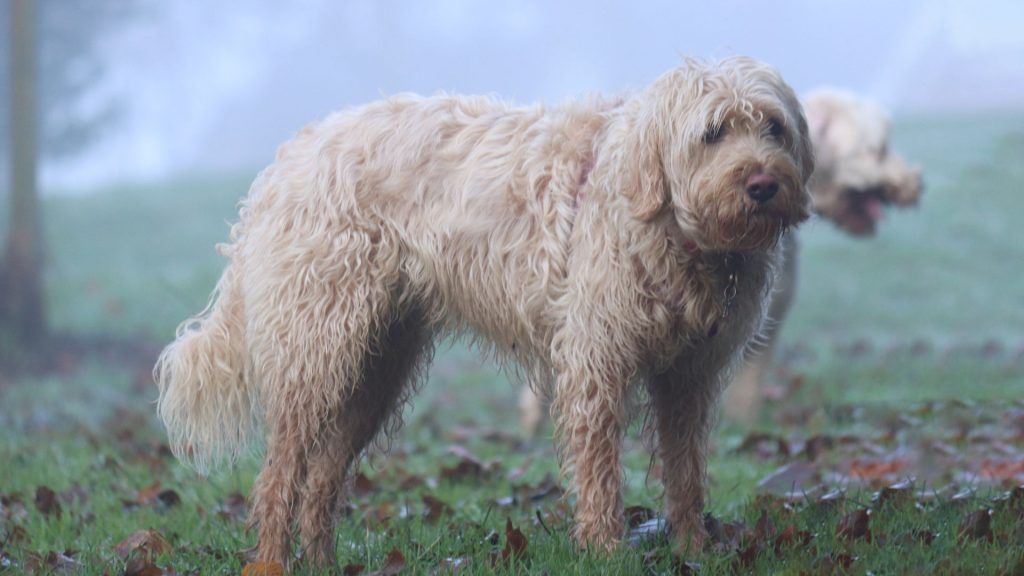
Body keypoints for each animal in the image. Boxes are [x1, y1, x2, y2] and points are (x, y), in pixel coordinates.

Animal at [155, 57, 811, 565]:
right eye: (714, 132)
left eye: (772, 127)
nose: (762, 184)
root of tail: (289, 157)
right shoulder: (597, 364)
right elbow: (600, 471)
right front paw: (605, 550)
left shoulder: (688, 377)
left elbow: (686, 470)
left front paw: (694, 546)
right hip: (316, 351)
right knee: (278, 475)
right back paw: (270, 559)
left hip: (375, 368)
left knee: (321, 478)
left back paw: (319, 559)